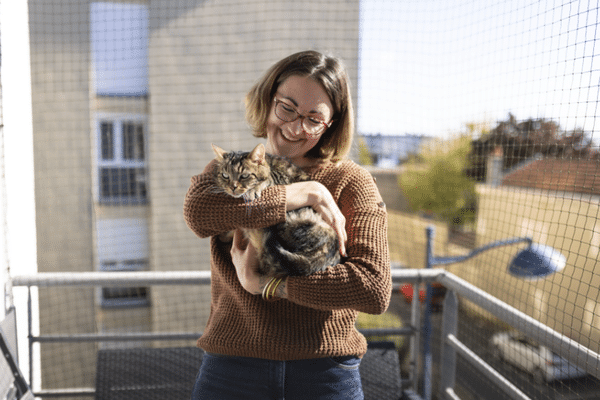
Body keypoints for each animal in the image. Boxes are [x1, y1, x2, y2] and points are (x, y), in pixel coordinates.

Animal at [213, 144, 340, 278]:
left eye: (244, 176)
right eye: (225, 176)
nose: (232, 187)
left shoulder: (278, 178)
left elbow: (267, 179)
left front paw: (253, 190)